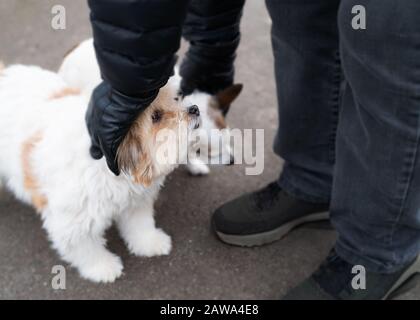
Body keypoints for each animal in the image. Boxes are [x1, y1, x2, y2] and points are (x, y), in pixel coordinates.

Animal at [0, 61, 200, 282]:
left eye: (175, 98)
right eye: (156, 116)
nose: (195, 109)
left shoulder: (135, 201)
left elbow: (140, 225)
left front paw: (149, 242)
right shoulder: (73, 221)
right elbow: (85, 248)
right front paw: (103, 267)